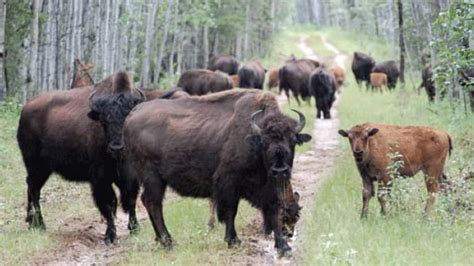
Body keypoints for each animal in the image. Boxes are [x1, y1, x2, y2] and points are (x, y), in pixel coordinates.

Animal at [17, 71, 144, 242]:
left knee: (31, 187)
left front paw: (135, 228)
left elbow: (130, 200)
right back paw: (40, 225)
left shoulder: (130, 176)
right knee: (34, 188)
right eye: (103, 120)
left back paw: (32, 223)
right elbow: (109, 203)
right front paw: (110, 235)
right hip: (36, 165)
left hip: (42, 169)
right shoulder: (100, 179)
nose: (116, 147)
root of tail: (25, 110)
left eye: (128, 116)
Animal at [123, 89, 312, 254]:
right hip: (152, 177)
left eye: (293, 141)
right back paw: (168, 242)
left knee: (149, 202)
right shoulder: (228, 184)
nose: (280, 170)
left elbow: (273, 210)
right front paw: (233, 240)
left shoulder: (268, 187)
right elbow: (230, 211)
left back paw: (161, 240)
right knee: (153, 203)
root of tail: (133, 113)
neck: (253, 141)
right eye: (264, 142)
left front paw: (284, 246)